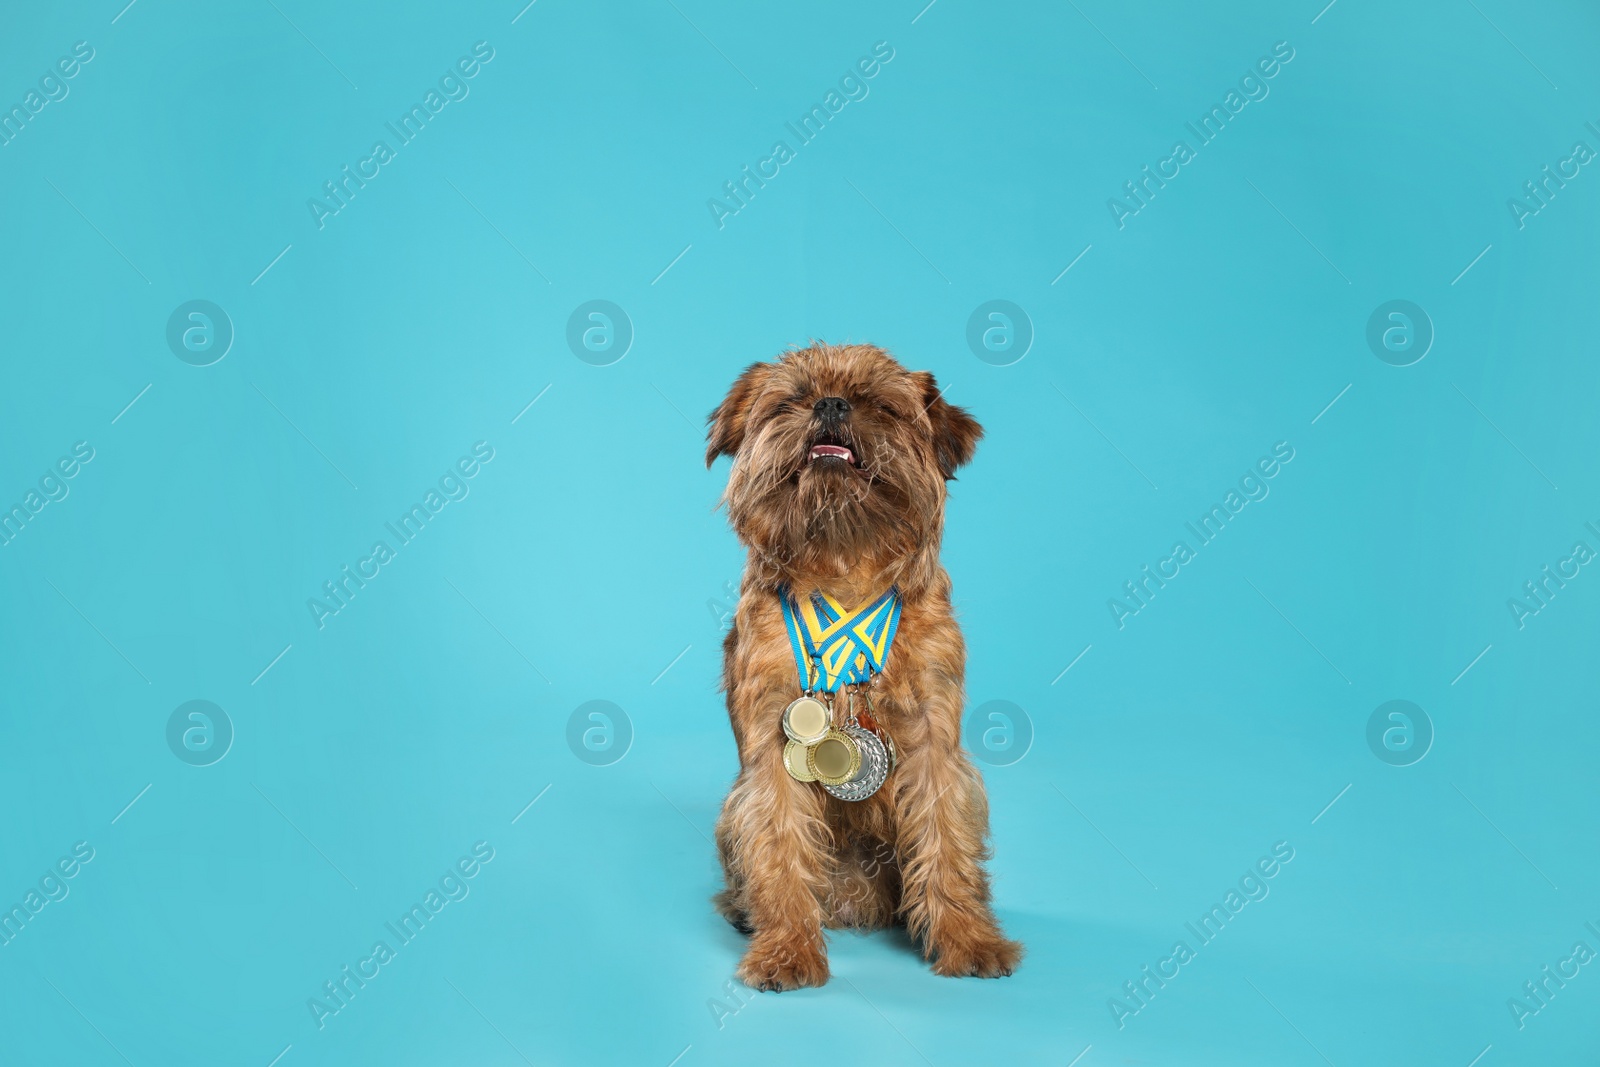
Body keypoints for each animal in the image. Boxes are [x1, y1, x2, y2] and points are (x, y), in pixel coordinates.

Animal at [704, 343, 1024, 991]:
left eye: (879, 404)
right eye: (792, 399)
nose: (831, 404)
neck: (844, 565)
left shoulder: (933, 745)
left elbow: (946, 840)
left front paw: (968, 937)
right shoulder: (772, 747)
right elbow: (777, 844)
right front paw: (787, 949)